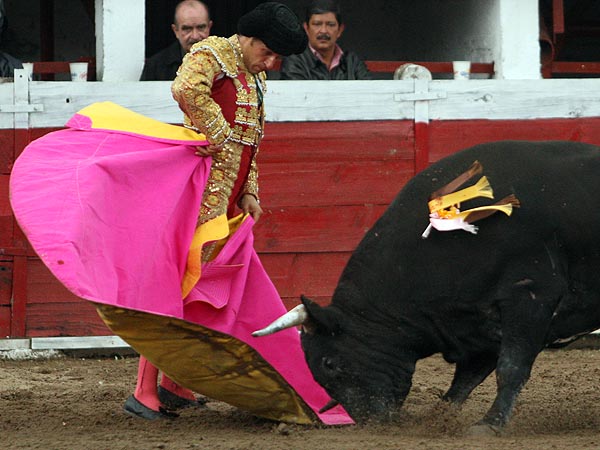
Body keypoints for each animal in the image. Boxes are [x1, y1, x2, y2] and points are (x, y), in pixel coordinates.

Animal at [254, 141, 600, 432]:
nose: (371, 421)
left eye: (329, 363)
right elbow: (466, 379)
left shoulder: (529, 298)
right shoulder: (477, 326)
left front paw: (489, 425)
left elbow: (510, 367)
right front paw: (437, 419)